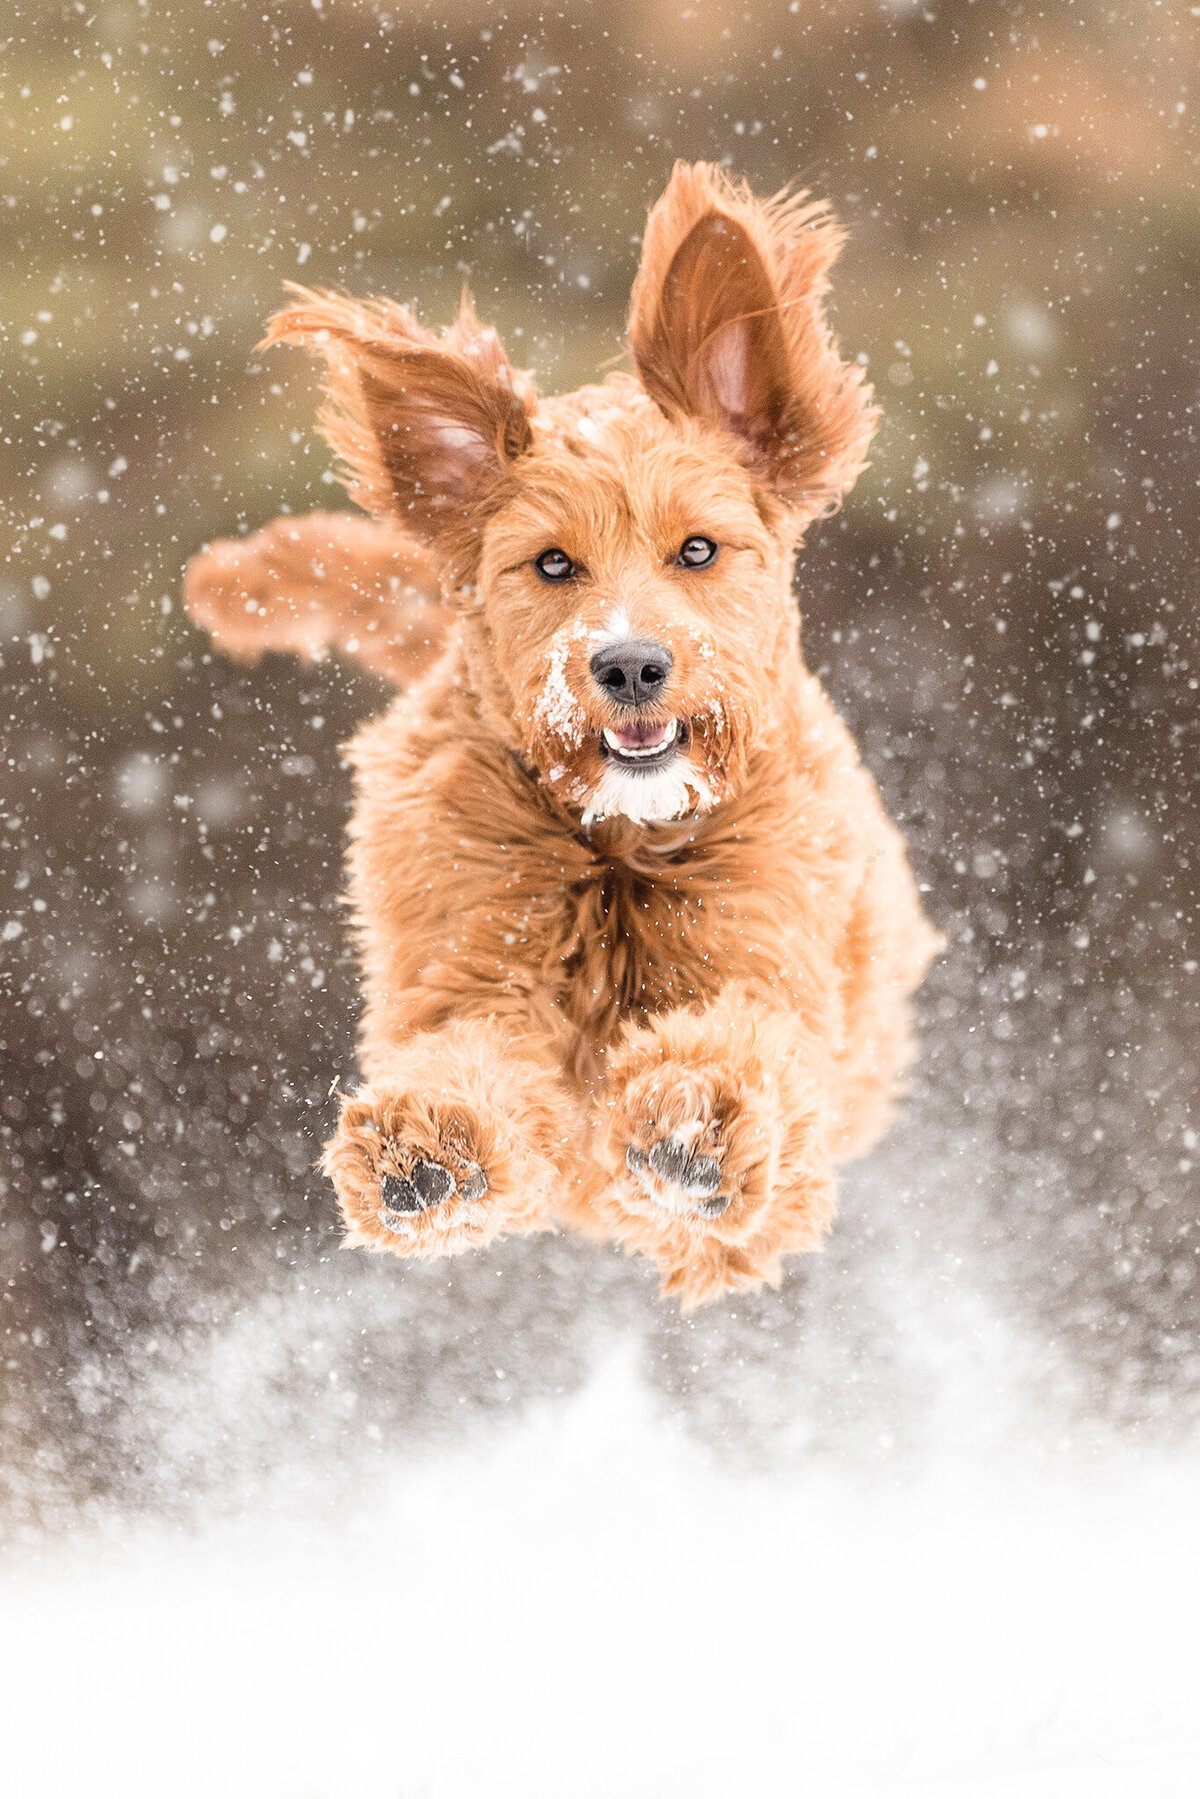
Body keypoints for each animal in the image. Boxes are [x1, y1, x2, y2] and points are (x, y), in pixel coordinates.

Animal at [183, 165, 942, 1309]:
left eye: (698, 549)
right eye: (550, 563)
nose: (628, 666)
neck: (622, 844)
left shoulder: (766, 956)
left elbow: (747, 1047)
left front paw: (694, 1116)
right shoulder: (473, 956)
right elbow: (474, 1052)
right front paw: (431, 1145)